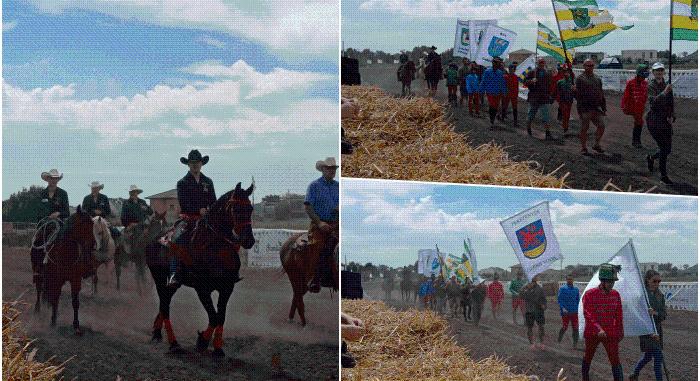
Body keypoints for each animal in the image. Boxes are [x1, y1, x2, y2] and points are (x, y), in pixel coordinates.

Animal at [31, 206, 96, 334]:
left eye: (92, 223)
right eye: (82, 223)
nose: (93, 244)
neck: (66, 252)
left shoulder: (75, 280)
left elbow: (75, 302)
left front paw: (76, 325)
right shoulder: (56, 280)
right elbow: (55, 298)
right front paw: (53, 321)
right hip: (37, 272)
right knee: (39, 289)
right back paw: (37, 309)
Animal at [146, 183, 256, 356]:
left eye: (250, 208)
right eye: (235, 209)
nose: (249, 240)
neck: (214, 247)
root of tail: (155, 239)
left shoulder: (227, 287)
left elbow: (220, 316)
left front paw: (216, 348)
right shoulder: (202, 288)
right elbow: (213, 316)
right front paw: (203, 341)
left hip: (171, 285)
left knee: (164, 304)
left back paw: (157, 333)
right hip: (159, 279)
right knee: (165, 306)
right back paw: (174, 344)